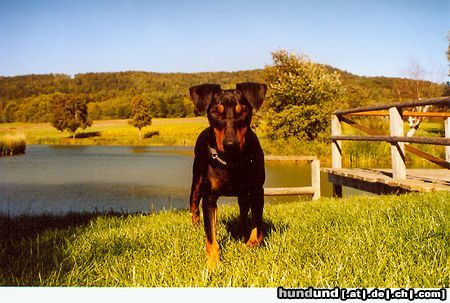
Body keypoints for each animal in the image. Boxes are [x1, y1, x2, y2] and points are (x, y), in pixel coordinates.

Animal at [189, 82, 268, 268]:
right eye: (215, 112)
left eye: (243, 112)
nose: (230, 144)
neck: (232, 161)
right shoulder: (209, 196)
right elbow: (211, 236)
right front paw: (212, 264)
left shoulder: (257, 191)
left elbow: (257, 228)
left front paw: (248, 245)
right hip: (197, 182)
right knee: (194, 206)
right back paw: (195, 226)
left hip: (243, 195)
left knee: (243, 212)